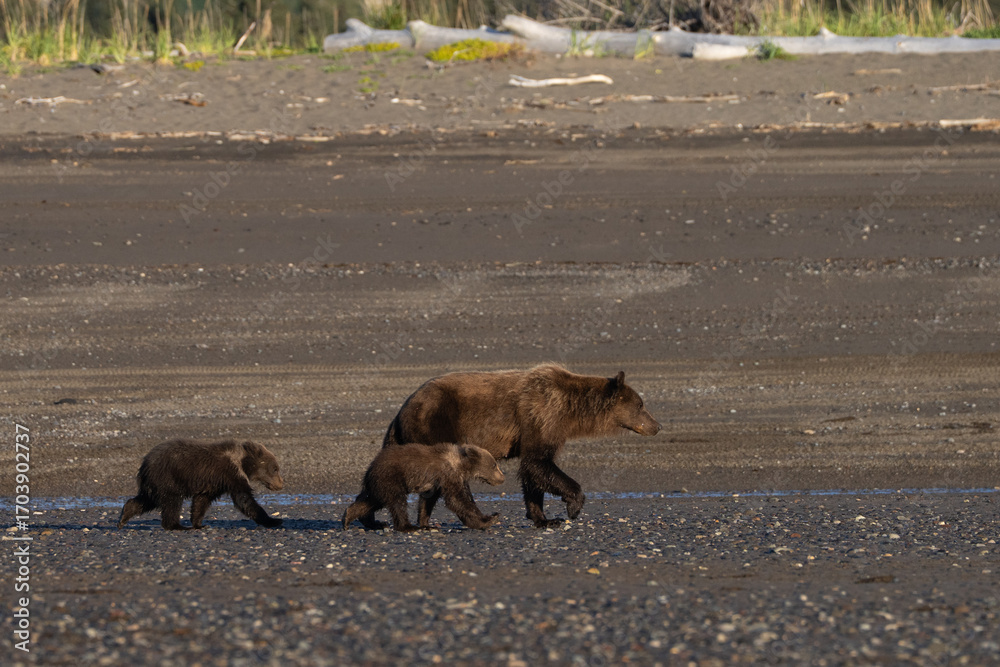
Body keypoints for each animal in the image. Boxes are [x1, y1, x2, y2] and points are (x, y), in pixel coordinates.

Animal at [117, 439, 284, 530]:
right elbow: (244, 500)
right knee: (172, 501)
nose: (281, 484)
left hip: (155, 483)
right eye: (275, 468)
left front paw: (200, 524)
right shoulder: (230, 474)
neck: (242, 463)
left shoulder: (214, 483)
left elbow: (201, 501)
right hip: (168, 477)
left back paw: (124, 516)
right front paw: (274, 520)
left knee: (147, 499)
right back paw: (177, 526)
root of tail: (145, 463)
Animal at [342, 443, 505, 532]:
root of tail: (370, 467)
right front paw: (489, 518)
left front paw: (426, 524)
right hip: (391, 477)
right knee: (397, 502)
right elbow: (457, 500)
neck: (461, 465)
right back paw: (406, 526)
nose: (502, 478)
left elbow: (427, 502)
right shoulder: (448, 475)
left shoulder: (436, 483)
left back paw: (353, 519)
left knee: (371, 500)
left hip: (379, 484)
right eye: (494, 465)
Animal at [382, 364, 660, 528]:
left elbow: (532, 472)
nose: (657, 425)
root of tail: (401, 410)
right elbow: (539, 463)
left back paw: (425, 521)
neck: (570, 410)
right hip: (435, 423)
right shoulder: (541, 414)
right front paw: (572, 506)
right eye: (640, 405)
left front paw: (544, 517)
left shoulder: (541, 427)